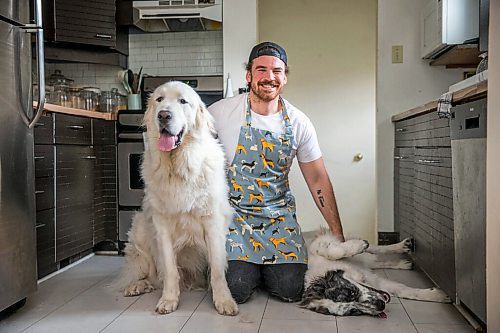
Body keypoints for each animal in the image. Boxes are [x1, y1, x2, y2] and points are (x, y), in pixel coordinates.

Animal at [119, 80, 240, 314]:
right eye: (159, 99)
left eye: (183, 101)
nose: (164, 115)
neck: (179, 168)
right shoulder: (162, 226)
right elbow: (169, 269)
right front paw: (169, 300)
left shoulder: (212, 222)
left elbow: (217, 270)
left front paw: (224, 300)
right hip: (141, 229)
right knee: (147, 272)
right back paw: (136, 286)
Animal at [298, 228, 452, 316]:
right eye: (354, 311)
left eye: (351, 292)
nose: (380, 305)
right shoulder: (377, 284)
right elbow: (405, 291)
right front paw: (438, 295)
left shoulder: (318, 244)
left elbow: (331, 251)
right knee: (374, 261)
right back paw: (403, 264)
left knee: (375, 249)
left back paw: (401, 246)